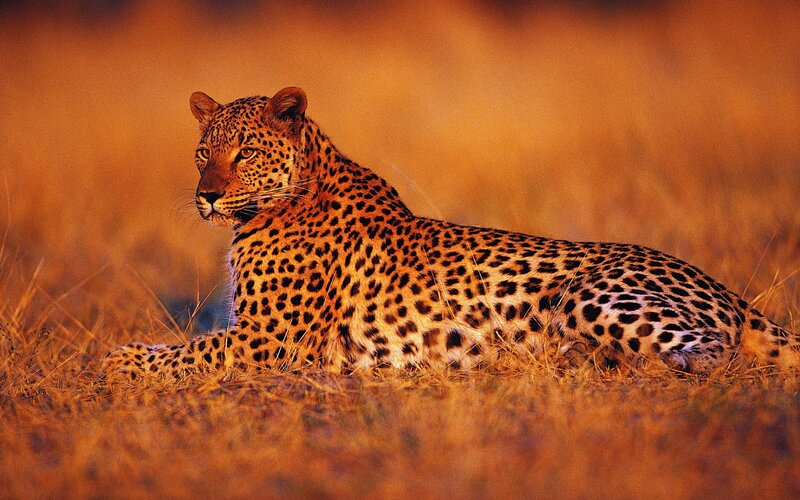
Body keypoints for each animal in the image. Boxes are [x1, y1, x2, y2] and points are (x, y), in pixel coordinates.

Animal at [101, 86, 800, 380]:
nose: (206, 195)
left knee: (713, 356)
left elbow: (185, 352)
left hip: (588, 294)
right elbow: (186, 345)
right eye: (202, 152)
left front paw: (116, 359)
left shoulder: (270, 339)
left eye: (244, 152)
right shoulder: (253, 332)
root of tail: (728, 291)